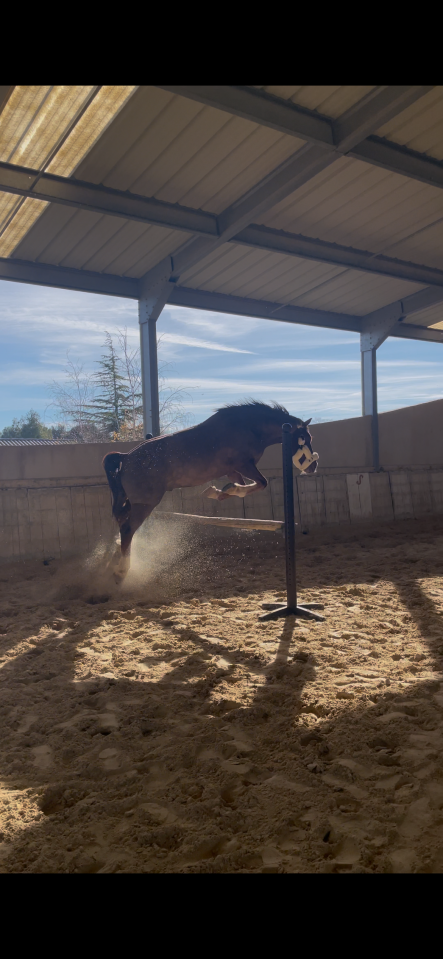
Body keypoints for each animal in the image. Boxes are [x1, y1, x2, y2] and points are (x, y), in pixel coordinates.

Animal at [103, 400, 318, 583]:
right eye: (304, 439)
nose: (312, 467)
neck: (249, 428)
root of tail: (126, 458)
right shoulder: (244, 465)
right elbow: (261, 483)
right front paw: (222, 491)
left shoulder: (233, 471)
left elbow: (238, 488)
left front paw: (218, 492)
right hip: (145, 504)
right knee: (128, 529)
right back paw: (121, 572)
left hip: (133, 502)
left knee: (122, 524)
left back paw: (111, 562)